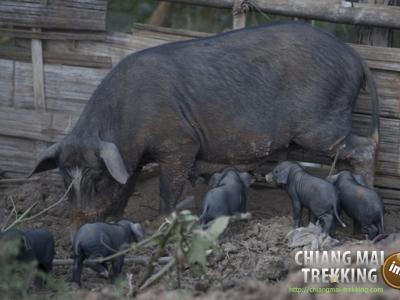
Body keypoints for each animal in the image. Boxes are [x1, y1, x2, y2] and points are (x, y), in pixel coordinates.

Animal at [29, 21, 380, 223]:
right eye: (64, 179)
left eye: (98, 178)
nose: (80, 221)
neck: (125, 120)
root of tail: (356, 57)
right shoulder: (131, 158)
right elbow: (126, 186)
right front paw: (116, 219)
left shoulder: (179, 144)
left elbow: (168, 189)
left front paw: (161, 223)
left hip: (321, 125)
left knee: (364, 147)